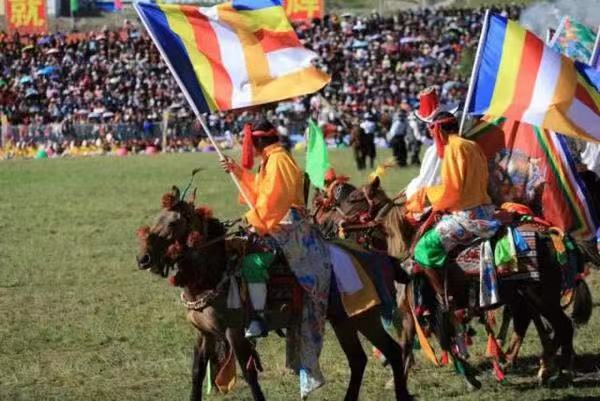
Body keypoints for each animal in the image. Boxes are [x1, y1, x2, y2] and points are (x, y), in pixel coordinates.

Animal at [136, 186, 414, 401]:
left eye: (173, 223)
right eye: (156, 218)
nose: (143, 258)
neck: (214, 271)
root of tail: (380, 257)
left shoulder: (235, 331)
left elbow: (249, 375)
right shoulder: (204, 332)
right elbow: (196, 371)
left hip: (364, 318)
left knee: (391, 352)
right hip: (343, 321)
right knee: (359, 360)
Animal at [330, 177, 577, 386]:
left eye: (354, 198)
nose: (335, 225)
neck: (407, 242)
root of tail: (551, 237)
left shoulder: (418, 309)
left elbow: (420, 342)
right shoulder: (416, 312)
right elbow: (415, 342)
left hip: (540, 297)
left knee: (562, 326)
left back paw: (557, 371)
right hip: (526, 297)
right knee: (535, 325)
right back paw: (538, 367)